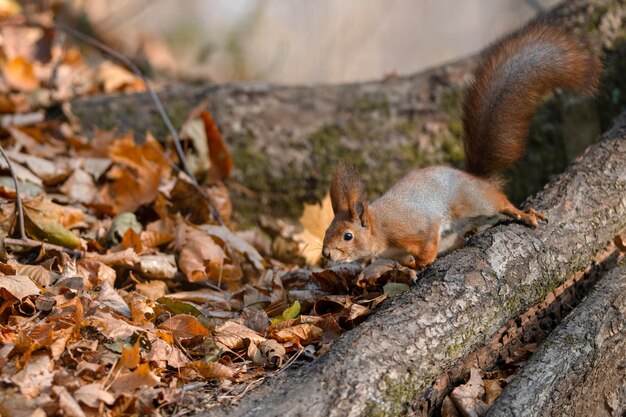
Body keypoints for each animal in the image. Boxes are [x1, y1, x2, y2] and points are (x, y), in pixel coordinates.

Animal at [322, 20, 600, 266]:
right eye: (326, 230)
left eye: (348, 236)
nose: (326, 254)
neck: (379, 228)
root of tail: (475, 178)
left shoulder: (415, 229)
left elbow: (427, 247)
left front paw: (419, 264)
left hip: (475, 201)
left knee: (502, 202)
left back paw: (523, 214)